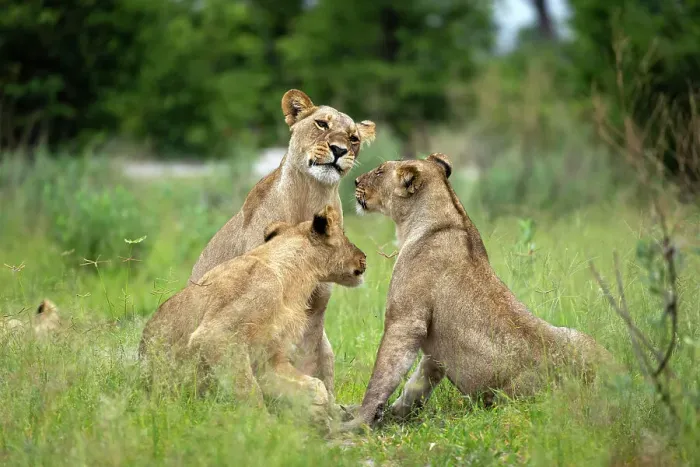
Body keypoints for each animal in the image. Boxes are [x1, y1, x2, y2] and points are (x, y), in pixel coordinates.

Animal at [139, 206, 367, 423]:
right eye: (344, 233)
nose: (364, 258)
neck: (292, 275)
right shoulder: (217, 335)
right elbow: (249, 388)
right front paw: (261, 423)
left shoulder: (269, 358)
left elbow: (315, 385)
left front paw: (318, 412)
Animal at [189, 90, 375, 401]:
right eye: (321, 124)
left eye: (353, 138)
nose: (339, 150)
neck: (311, 197)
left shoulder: (317, 306)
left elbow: (308, 357)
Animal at [343, 153, 613, 431]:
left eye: (379, 171)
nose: (355, 181)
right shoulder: (437, 346)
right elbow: (418, 383)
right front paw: (391, 413)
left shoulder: (406, 320)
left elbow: (384, 374)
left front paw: (358, 421)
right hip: (580, 336)